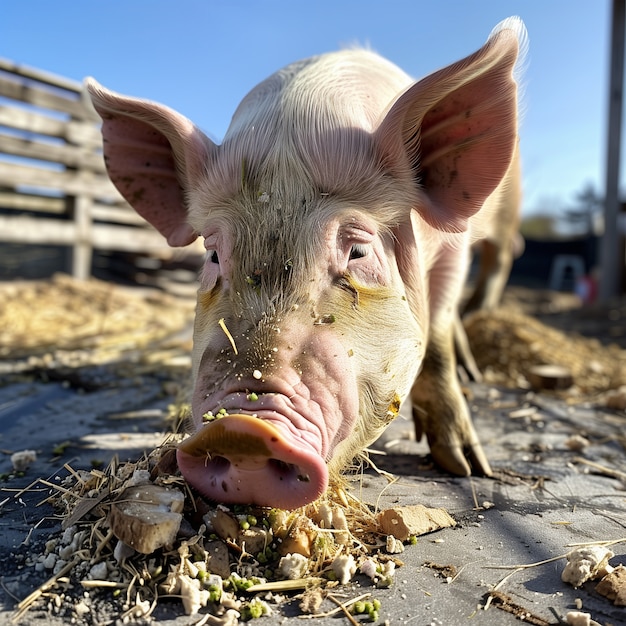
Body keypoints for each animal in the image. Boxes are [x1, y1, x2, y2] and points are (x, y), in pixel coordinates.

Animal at [88, 17, 524, 510]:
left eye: (358, 252)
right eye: (214, 255)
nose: (242, 430)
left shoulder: (453, 249)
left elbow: (438, 339)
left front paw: (465, 467)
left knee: (499, 262)